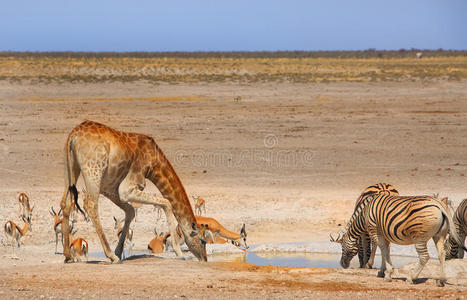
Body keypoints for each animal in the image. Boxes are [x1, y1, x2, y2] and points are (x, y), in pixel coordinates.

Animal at [59, 120, 208, 264]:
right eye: (203, 241)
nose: (204, 258)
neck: (154, 162)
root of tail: (73, 136)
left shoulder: (110, 188)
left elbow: (130, 211)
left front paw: (119, 251)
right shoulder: (126, 189)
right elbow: (167, 202)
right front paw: (179, 253)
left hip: (70, 168)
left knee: (65, 203)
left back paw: (68, 255)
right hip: (93, 171)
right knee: (90, 205)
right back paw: (111, 256)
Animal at [336, 193, 467, 288]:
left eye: (342, 246)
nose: (342, 264)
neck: (365, 215)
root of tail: (439, 204)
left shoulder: (375, 231)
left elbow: (383, 250)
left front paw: (387, 274)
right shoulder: (384, 233)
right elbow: (385, 251)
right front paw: (382, 271)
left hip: (419, 237)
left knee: (424, 256)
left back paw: (411, 278)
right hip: (439, 235)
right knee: (441, 254)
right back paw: (441, 280)